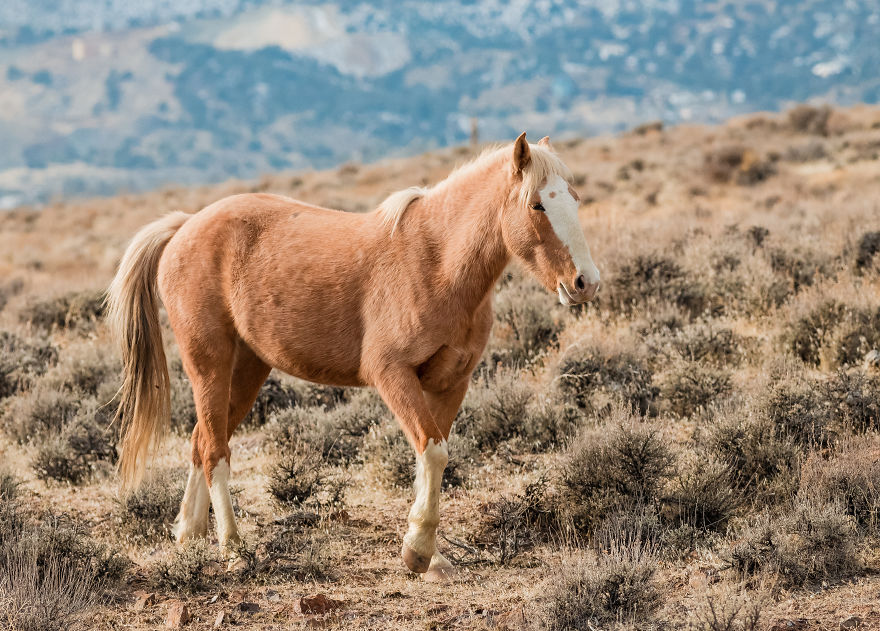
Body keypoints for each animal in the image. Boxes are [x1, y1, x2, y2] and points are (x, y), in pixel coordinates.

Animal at [103, 135, 600, 584]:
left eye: (574, 199)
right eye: (537, 205)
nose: (586, 282)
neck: (436, 262)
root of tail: (185, 226)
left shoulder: (450, 383)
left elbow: (434, 455)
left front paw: (432, 558)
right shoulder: (393, 375)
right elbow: (433, 450)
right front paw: (417, 553)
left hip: (247, 369)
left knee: (201, 440)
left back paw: (189, 534)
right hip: (209, 364)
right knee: (215, 451)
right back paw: (234, 551)